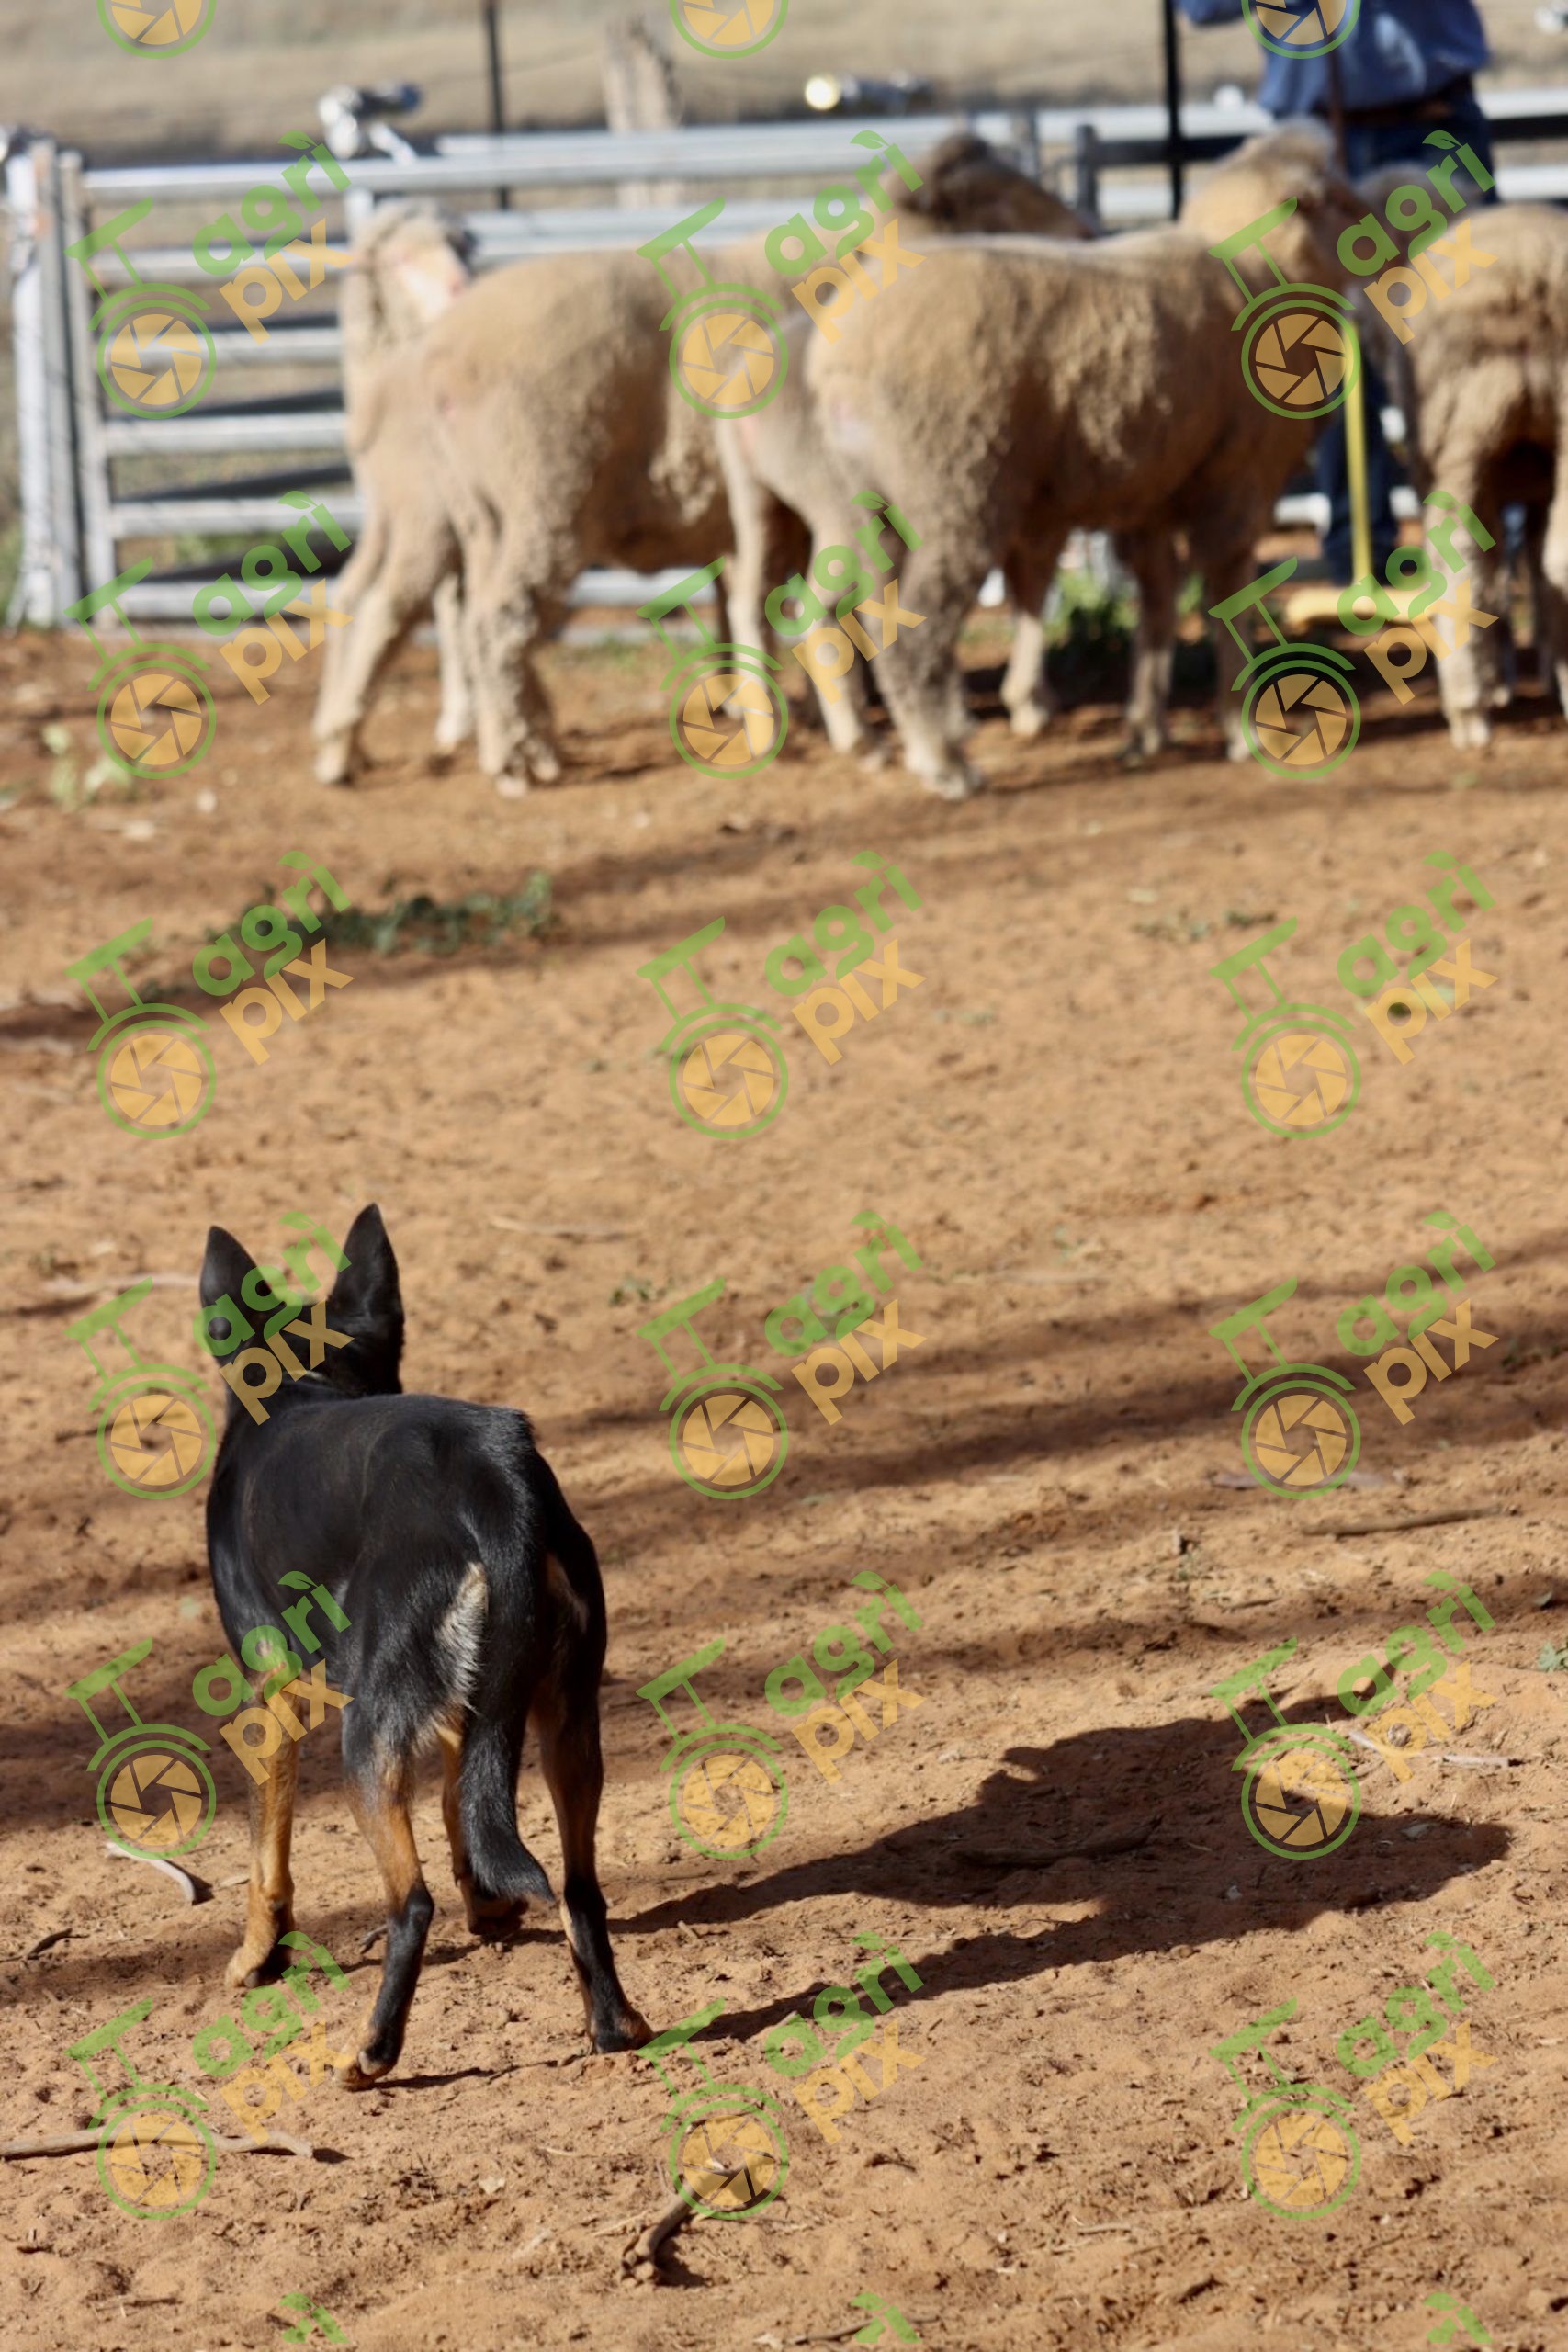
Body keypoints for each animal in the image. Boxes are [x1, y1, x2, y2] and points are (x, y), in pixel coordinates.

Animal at [801, 124, 1363, 798]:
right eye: (1338, 201)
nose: (1085, 231)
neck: (1259, 267)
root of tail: (835, 357)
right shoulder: (1235, 478)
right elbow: (1226, 595)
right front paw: (1243, 730)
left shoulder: (1154, 490)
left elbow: (1156, 604)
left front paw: (1145, 729)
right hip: (954, 490)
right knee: (914, 636)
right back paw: (946, 762)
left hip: (872, 506)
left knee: (880, 617)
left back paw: (920, 746)